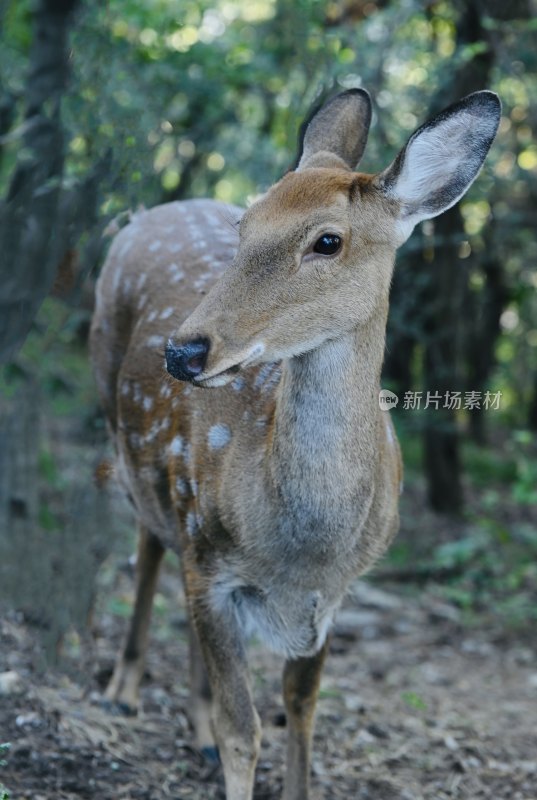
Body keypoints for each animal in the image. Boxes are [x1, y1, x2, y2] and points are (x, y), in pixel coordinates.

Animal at [89, 87, 498, 800]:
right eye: (244, 225)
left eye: (327, 241)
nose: (182, 350)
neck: (299, 547)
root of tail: (146, 213)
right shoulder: (209, 553)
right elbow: (245, 729)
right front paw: (219, 742)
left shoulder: (332, 595)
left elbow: (300, 709)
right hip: (136, 449)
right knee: (147, 549)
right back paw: (122, 690)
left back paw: (192, 730)